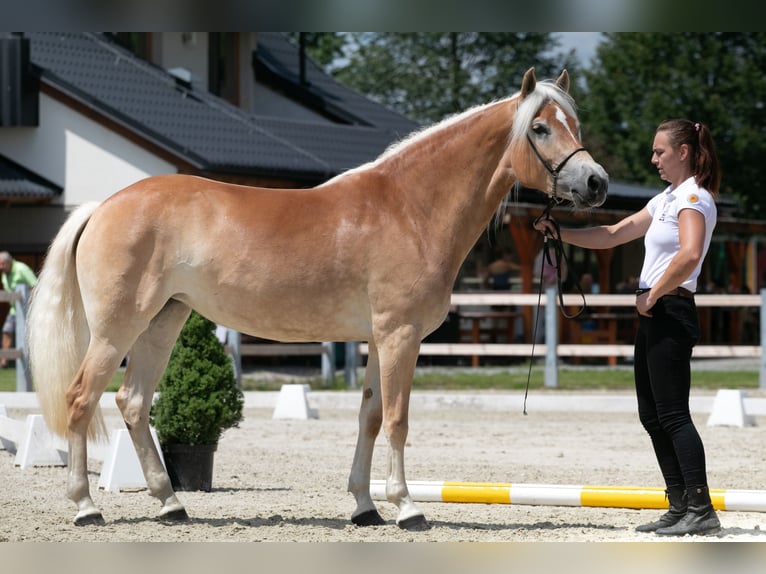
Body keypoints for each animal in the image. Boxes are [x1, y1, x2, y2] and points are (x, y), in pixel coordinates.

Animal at [27, 66, 608, 532]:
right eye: (540, 127)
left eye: (575, 125)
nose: (596, 183)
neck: (409, 207)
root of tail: (103, 206)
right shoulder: (400, 336)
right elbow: (397, 419)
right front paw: (407, 508)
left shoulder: (379, 338)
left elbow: (370, 416)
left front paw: (365, 507)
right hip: (116, 329)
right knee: (81, 398)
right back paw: (86, 507)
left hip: (163, 321)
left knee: (132, 402)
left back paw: (171, 504)